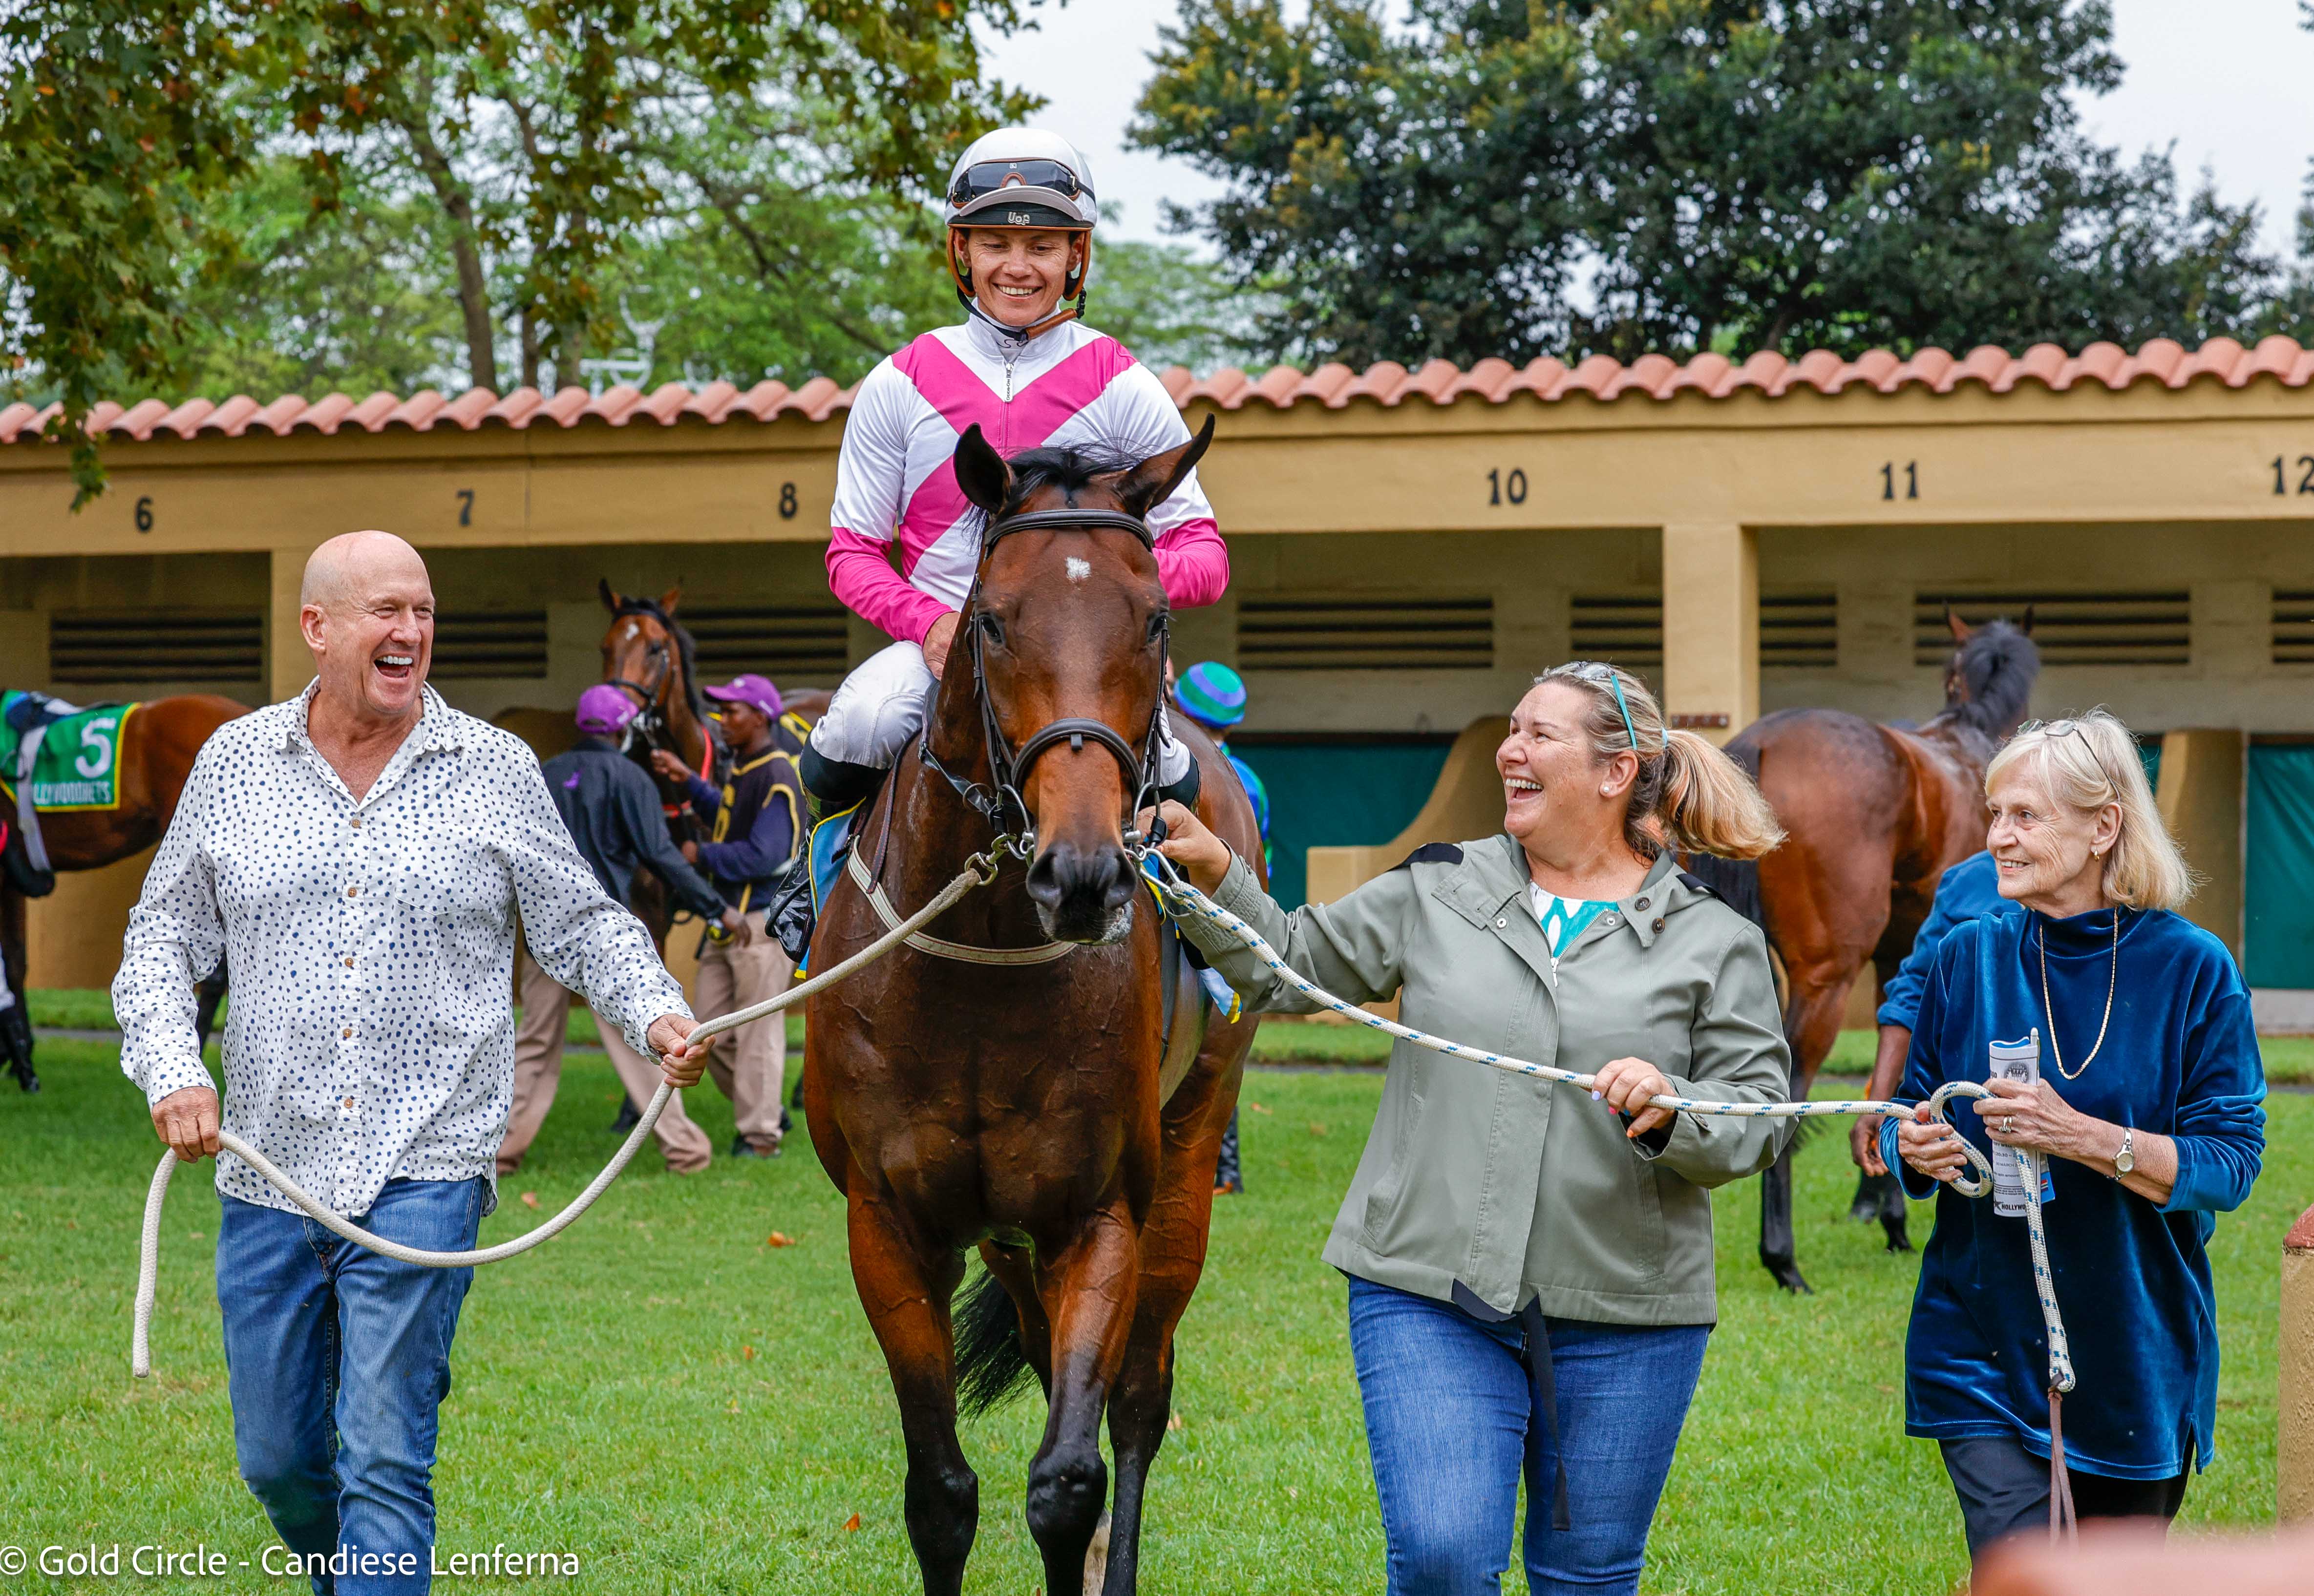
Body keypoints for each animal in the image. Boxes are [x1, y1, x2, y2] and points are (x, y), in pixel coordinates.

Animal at [802, 417, 1262, 1596]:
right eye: (995, 620)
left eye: (1154, 619)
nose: (1085, 872)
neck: (982, 970)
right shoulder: (888, 1224)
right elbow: (939, 1490)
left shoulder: (1095, 1214)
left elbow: (1067, 1476)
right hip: (1006, 1234)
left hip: (1187, 1151)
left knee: (1138, 1397)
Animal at [1689, 614, 2039, 1292]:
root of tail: (1761, 743)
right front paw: (1888, 1206)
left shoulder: (1898, 957)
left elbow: (1895, 1064)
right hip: (1825, 980)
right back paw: (1784, 1259)